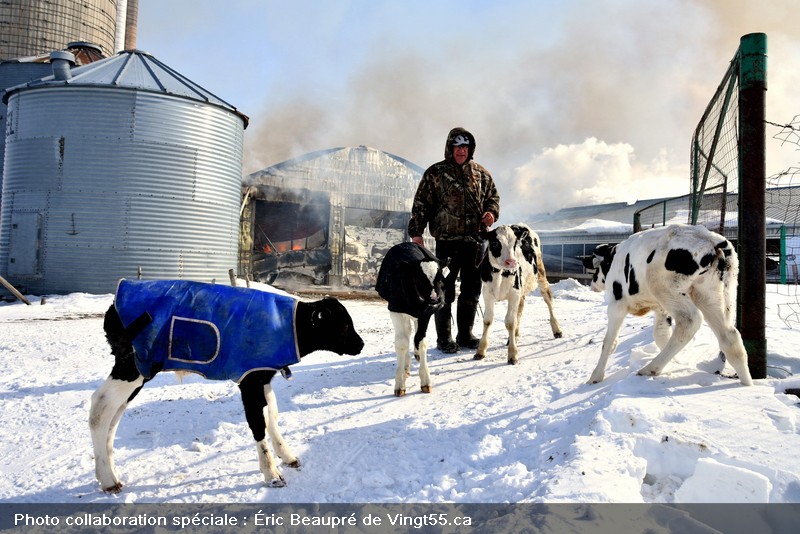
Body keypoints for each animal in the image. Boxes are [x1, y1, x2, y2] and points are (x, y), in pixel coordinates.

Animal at [89, 282, 364, 496]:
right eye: (344, 325)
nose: (361, 344)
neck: (289, 326)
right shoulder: (248, 379)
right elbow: (257, 422)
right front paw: (272, 474)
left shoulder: (262, 375)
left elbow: (271, 414)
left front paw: (287, 456)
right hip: (131, 367)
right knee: (100, 409)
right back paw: (108, 479)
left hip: (139, 372)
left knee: (114, 415)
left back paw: (110, 472)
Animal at [376, 243, 446, 398]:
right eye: (420, 279)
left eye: (440, 278)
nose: (435, 298)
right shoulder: (396, 309)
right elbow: (402, 343)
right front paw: (399, 384)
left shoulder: (426, 312)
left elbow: (421, 340)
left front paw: (425, 381)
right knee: (406, 334)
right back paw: (406, 366)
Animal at [476, 224, 564, 366]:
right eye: (495, 242)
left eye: (515, 243)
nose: (511, 262)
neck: (500, 273)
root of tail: (521, 225)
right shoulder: (487, 293)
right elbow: (488, 320)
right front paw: (481, 350)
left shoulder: (514, 293)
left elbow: (510, 322)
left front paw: (513, 355)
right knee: (520, 310)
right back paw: (514, 336)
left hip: (540, 274)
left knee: (548, 300)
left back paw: (557, 330)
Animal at [580, 224, 752, 388]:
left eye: (594, 270)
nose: (593, 285)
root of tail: (711, 239)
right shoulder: (661, 308)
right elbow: (661, 335)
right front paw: (677, 362)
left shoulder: (617, 304)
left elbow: (609, 342)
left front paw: (595, 377)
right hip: (710, 295)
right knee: (730, 337)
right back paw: (747, 384)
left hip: (662, 285)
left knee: (690, 320)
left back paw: (650, 369)